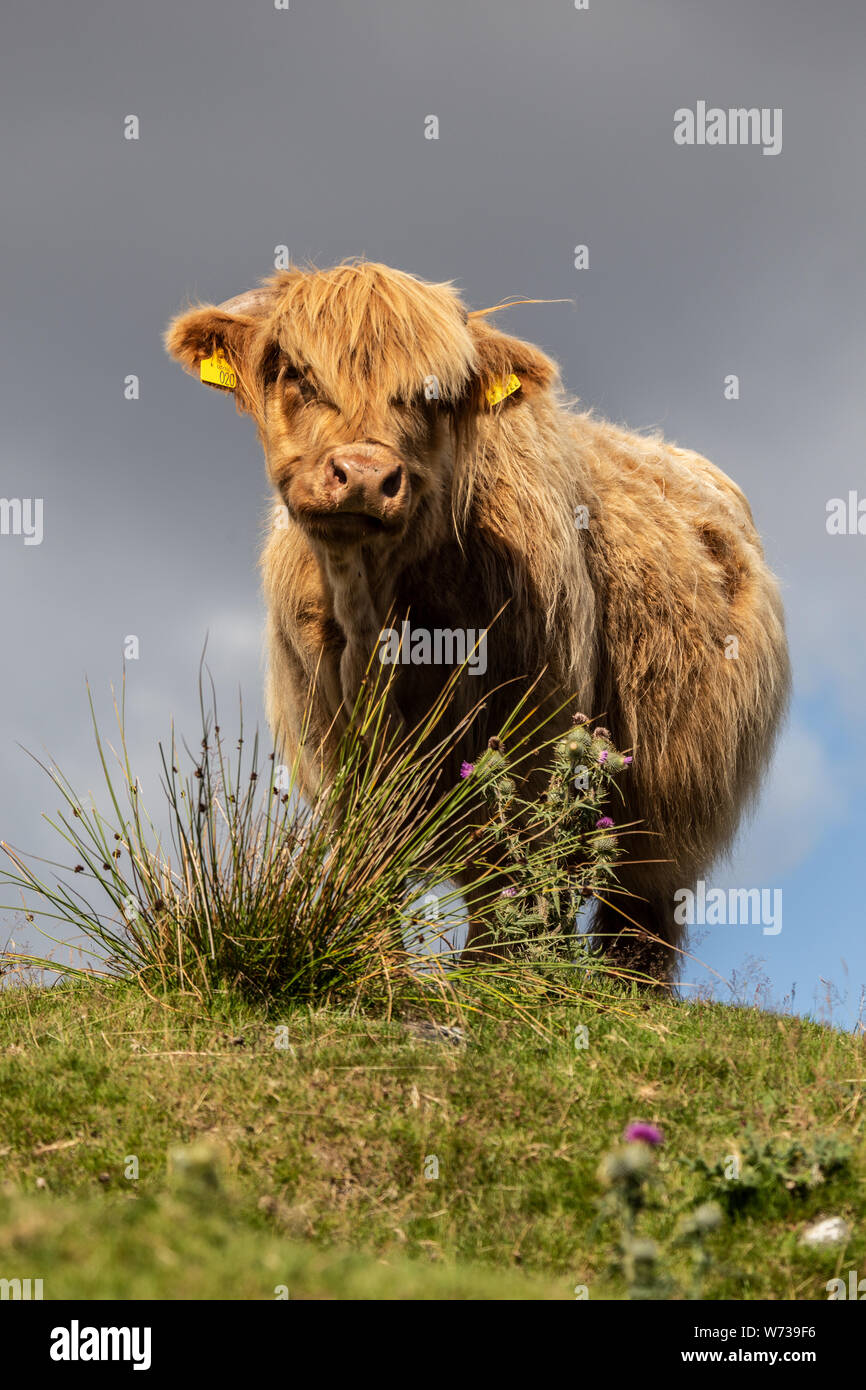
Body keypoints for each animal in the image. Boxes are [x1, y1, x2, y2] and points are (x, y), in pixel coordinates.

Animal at [167, 261, 795, 978]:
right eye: (297, 373)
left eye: (432, 395)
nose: (364, 475)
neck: (375, 616)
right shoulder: (331, 732)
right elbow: (369, 849)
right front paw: (379, 959)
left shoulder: (531, 724)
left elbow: (503, 863)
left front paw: (489, 974)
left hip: (677, 781)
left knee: (638, 900)